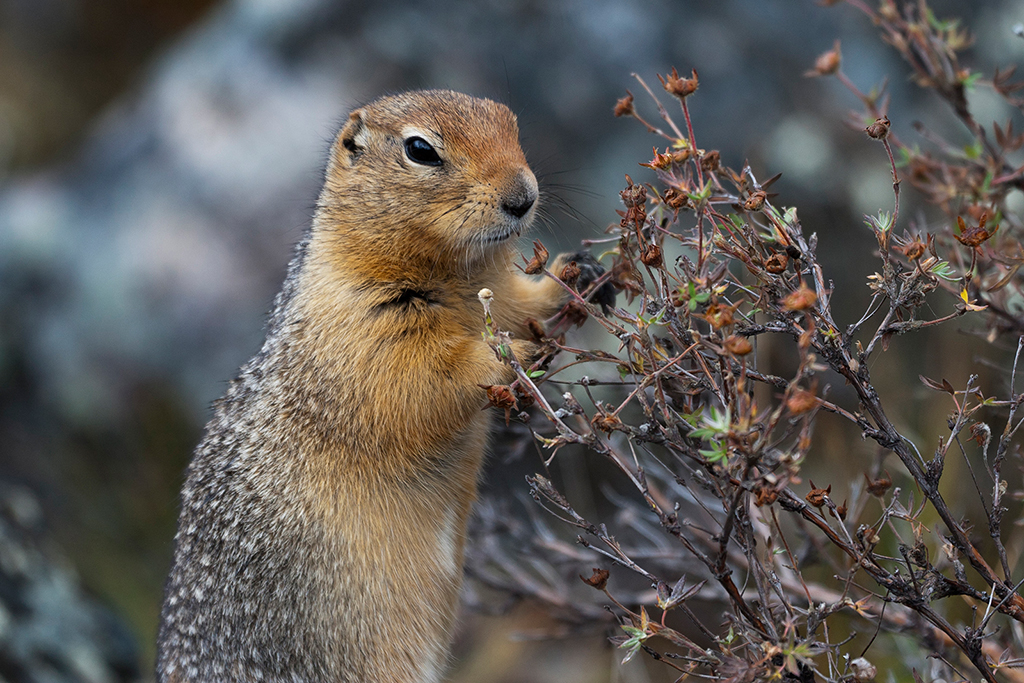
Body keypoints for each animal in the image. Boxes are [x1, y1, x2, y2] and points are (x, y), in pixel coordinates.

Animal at [155, 92, 610, 683]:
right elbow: (424, 377)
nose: (523, 196)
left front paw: (577, 273)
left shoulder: (496, 290)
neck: (455, 275)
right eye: (420, 149)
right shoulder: (364, 327)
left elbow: (519, 301)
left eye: (510, 121)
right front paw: (515, 353)